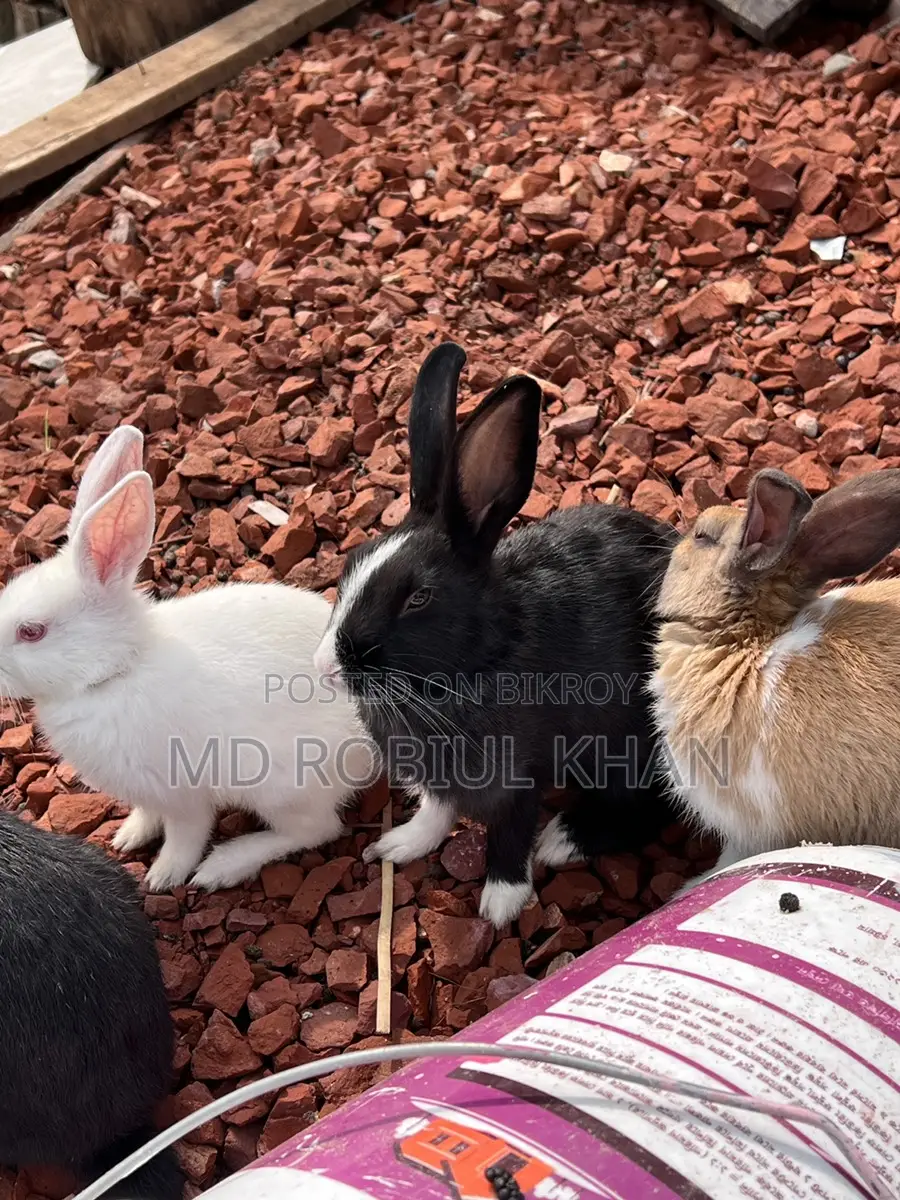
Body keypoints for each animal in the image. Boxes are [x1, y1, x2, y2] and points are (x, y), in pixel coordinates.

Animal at [0, 425, 374, 893]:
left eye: (32, 631)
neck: (118, 669)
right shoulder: (149, 794)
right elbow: (148, 816)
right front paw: (128, 837)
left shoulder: (183, 797)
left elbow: (185, 837)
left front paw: (162, 877)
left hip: (283, 790)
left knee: (316, 830)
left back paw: (223, 866)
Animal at [313, 341, 679, 927]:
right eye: (350, 563)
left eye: (418, 598)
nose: (326, 667)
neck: (479, 661)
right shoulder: (440, 780)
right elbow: (437, 812)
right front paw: (398, 846)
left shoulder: (515, 776)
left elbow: (509, 833)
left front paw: (500, 904)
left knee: (651, 806)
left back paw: (564, 840)